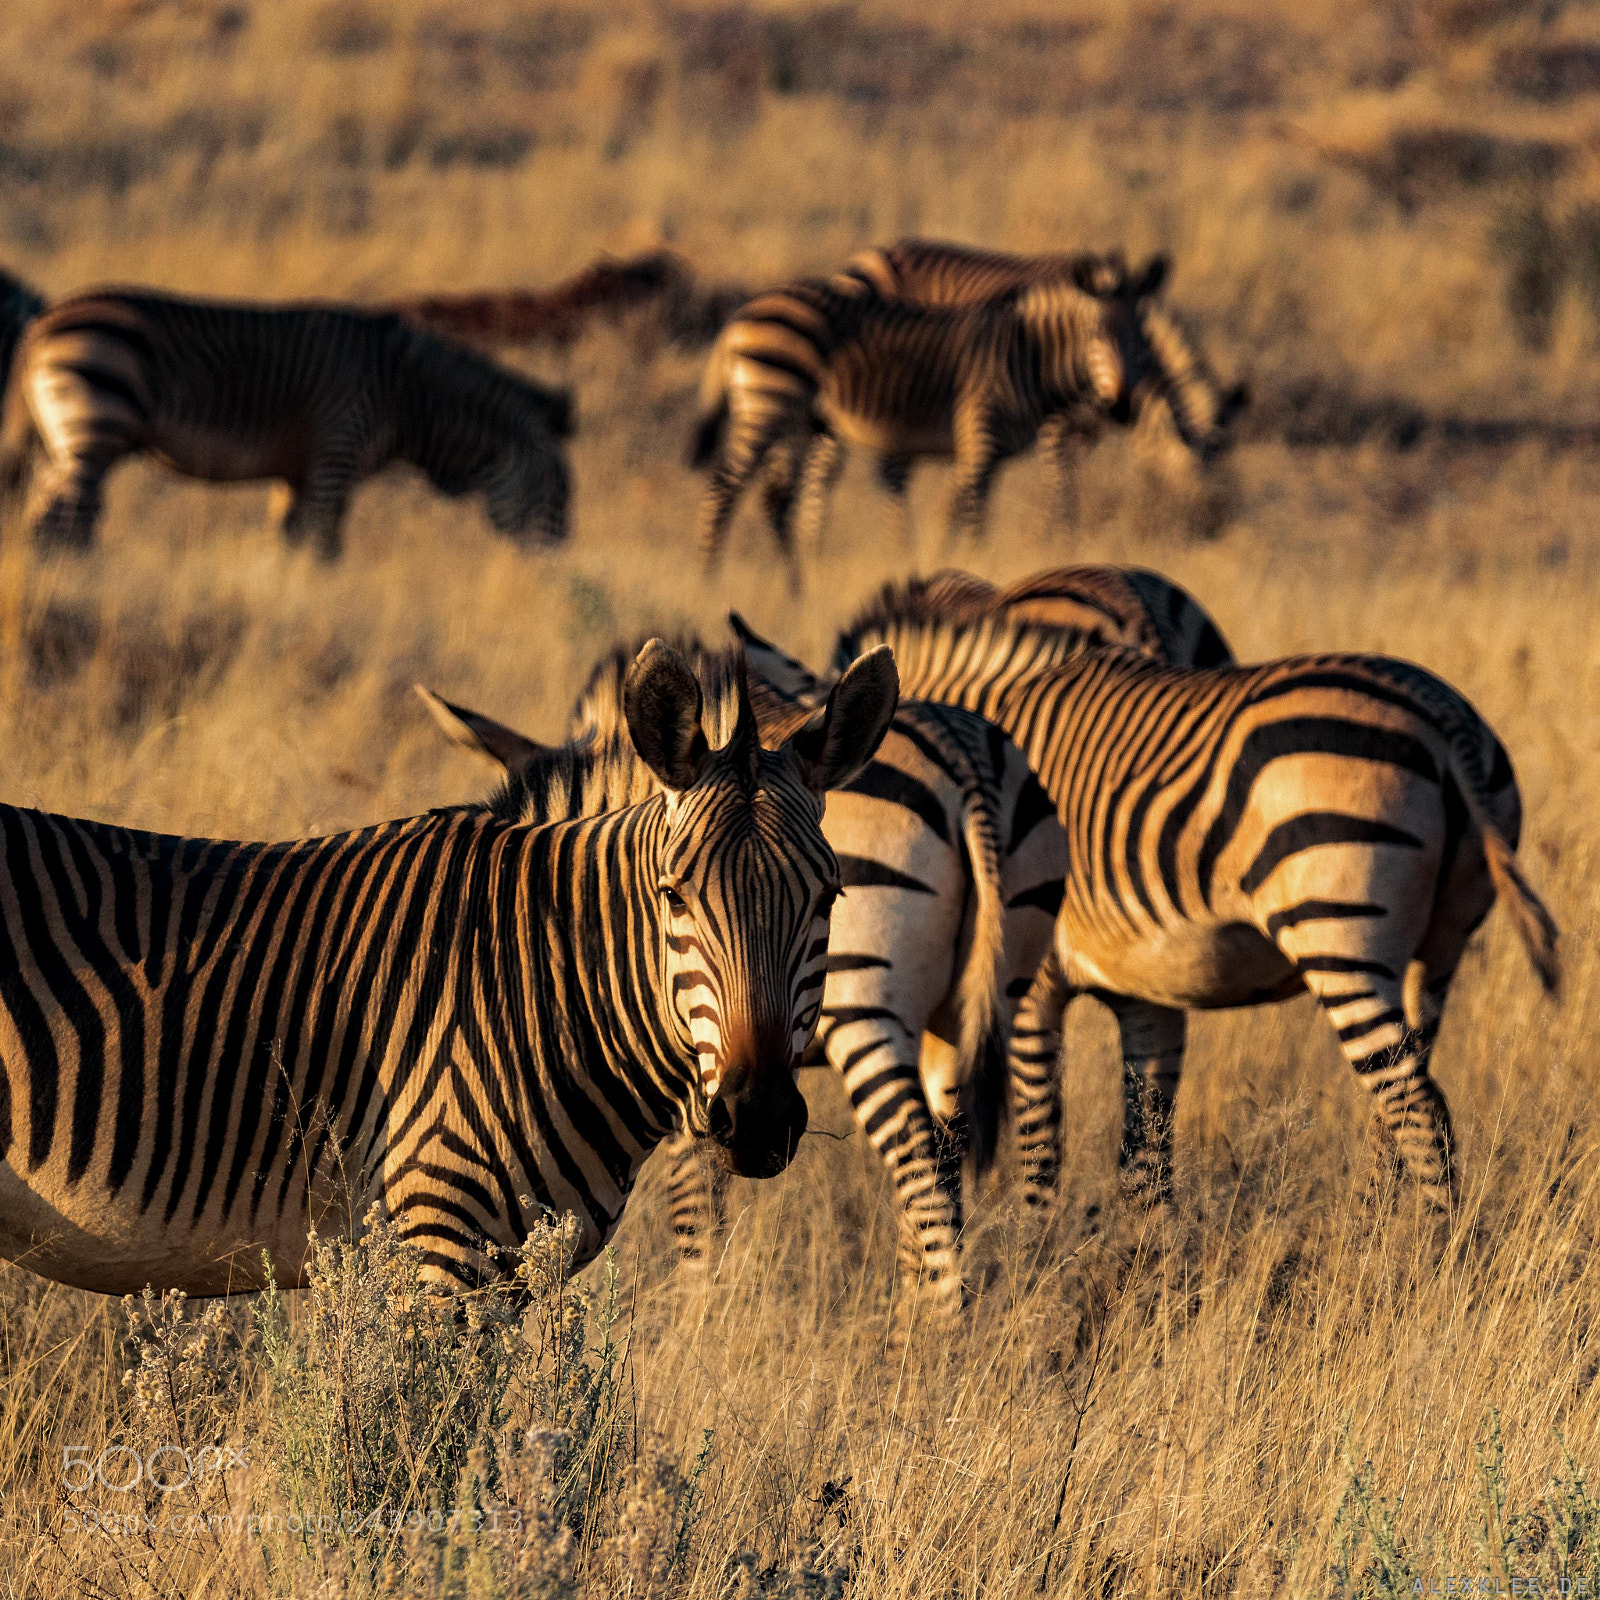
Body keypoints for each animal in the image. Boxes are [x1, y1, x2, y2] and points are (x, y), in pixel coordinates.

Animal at [0, 287, 574, 559]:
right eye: (560, 489)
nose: (559, 563)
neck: (410, 396)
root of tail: (44, 321)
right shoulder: (337, 450)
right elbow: (324, 546)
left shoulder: (299, 470)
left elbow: (291, 541)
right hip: (97, 423)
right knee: (65, 516)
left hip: (60, 438)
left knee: (45, 511)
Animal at [0, 639, 898, 1295]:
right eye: (673, 896)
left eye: (829, 897)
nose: (757, 1118)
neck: (544, 982)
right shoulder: (439, 1240)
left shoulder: (505, 1271)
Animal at [741, 600, 1560, 1215]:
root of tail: (1438, 715)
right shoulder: (1149, 994)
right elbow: (1146, 1159)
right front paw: (1150, 1277)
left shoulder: (1029, 987)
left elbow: (1041, 1147)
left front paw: (1041, 1254)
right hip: (1438, 952)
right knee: (1398, 1106)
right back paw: (1377, 1234)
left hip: (1339, 934)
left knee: (1420, 1113)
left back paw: (1428, 1259)